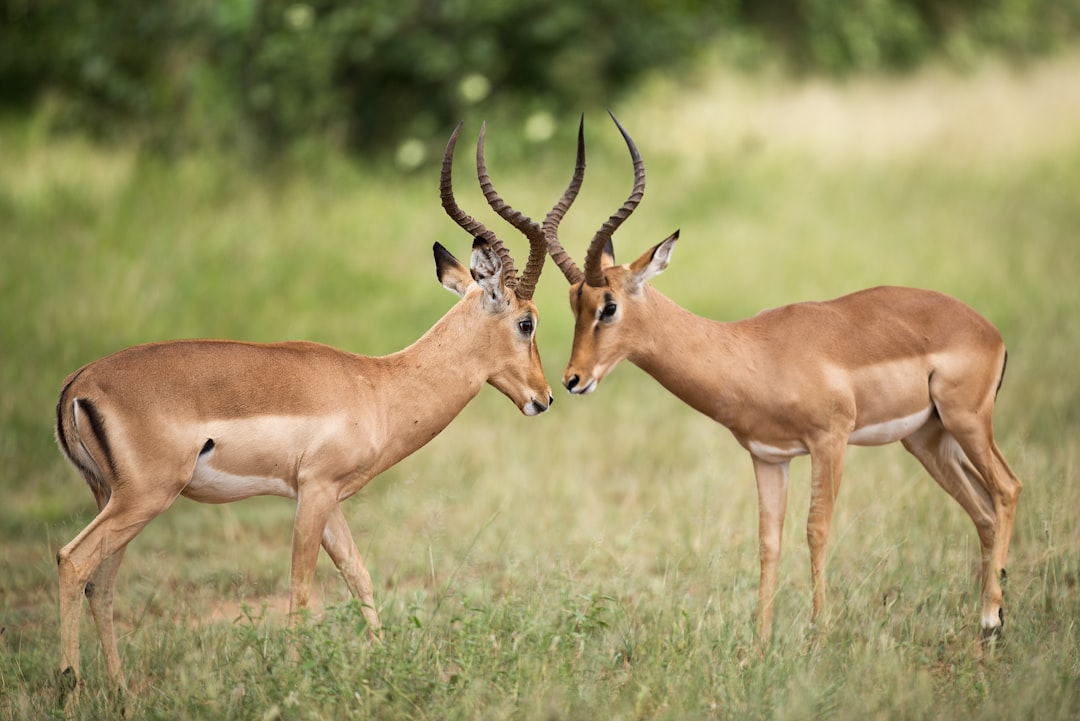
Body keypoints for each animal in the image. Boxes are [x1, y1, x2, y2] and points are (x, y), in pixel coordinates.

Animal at [54, 124, 578, 699]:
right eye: (527, 323)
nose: (544, 397)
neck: (379, 386)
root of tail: (79, 383)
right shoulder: (315, 491)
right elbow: (302, 590)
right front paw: (292, 679)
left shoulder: (329, 499)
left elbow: (359, 575)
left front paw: (380, 665)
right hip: (144, 497)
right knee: (73, 561)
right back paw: (69, 686)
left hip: (114, 498)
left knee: (101, 585)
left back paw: (121, 690)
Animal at [544, 113, 1023, 647]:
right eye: (573, 303)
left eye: (608, 306)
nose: (572, 379)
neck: (753, 352)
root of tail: (988, 330)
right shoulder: (769, 457)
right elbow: (768, 541)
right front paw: (759, 644)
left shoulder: (829, 441)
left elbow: (816, 528)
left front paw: (820, 633)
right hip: (927, 438)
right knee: (982, 508)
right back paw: (988, 619)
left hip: (967, 421)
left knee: (1008, 488)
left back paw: (991, 618)